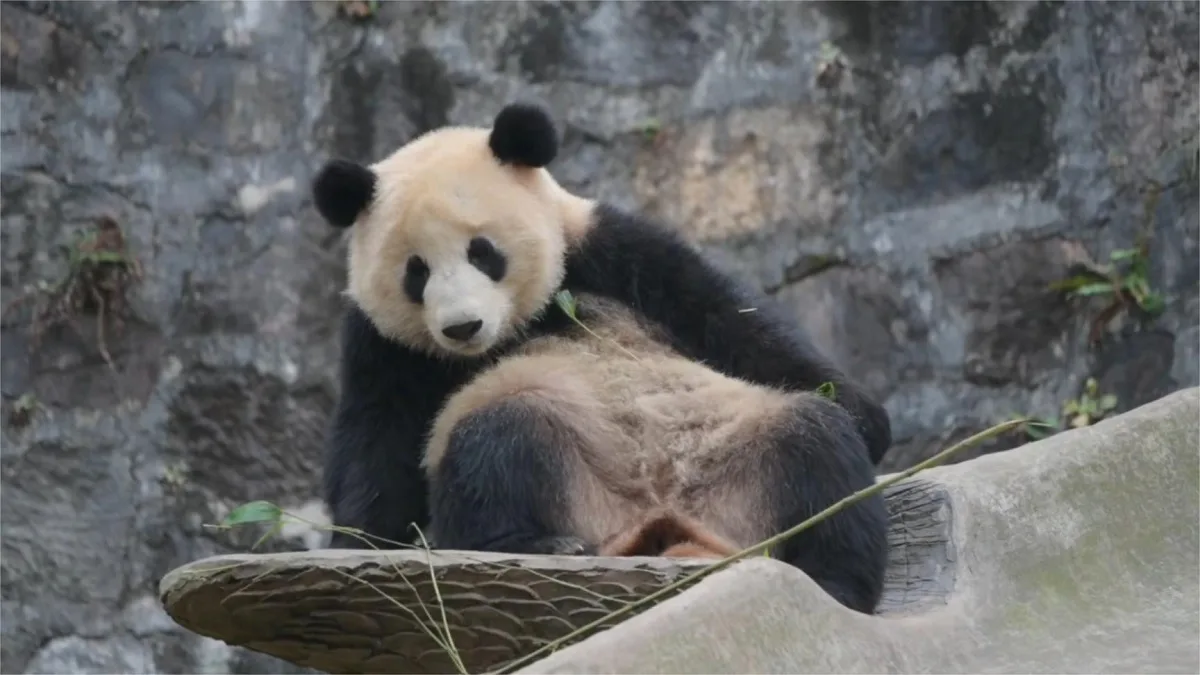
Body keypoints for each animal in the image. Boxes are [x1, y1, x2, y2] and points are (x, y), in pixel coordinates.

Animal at [312, 103, 893, 614]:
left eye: (483, 251)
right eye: (417, 271)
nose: (462, 327)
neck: (516, 326)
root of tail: (660, 521)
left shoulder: (609, 249)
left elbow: (727, 318)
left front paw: (871, 419)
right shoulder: (384, 343)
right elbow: (379, 437)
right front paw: (355, 542)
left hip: (737, 454)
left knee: (818, 449)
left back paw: (832, 583)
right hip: (571, 457)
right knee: (494, 445)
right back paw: (540, 543)